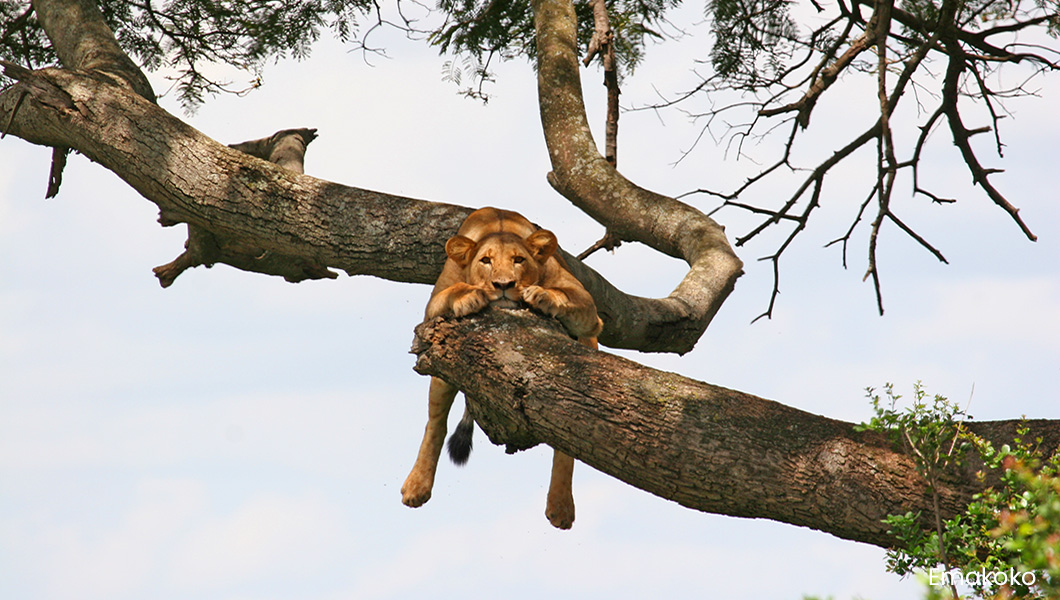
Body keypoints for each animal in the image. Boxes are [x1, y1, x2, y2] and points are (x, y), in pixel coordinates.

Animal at [398, 207, 602, 532]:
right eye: (486, 261)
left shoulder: (591, 313)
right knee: (436, 422)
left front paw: (542, 296)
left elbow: (565, 296)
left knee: (567, 440)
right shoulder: (432, 308)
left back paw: (560, 506)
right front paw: (470, 295)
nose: (504, 285)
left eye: (519, 260)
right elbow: (454, 291)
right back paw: (416, 486)